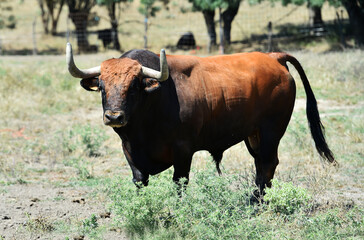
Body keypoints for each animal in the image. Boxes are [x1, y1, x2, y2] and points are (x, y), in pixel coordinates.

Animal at [66, 42, 336, 193]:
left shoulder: (183, 152)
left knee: (268, 164)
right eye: (102, 86)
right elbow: (140, 181)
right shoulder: (130, 152)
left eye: (134, 86)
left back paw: (257, 202)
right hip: (254, 135)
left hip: (272, 131)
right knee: (261, 166)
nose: (114, 116)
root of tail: (273, 57)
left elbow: (179, 183)